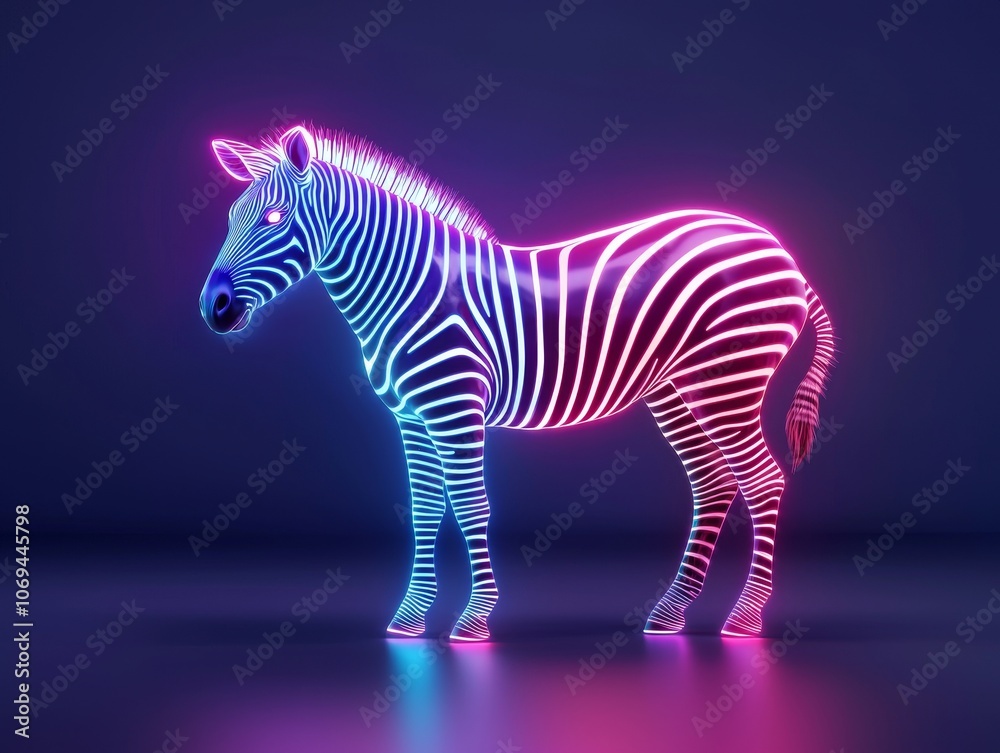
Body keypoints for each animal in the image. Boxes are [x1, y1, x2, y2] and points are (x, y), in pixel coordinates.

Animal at [199, 125, 835, 641]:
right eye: (228, 220)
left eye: (275, 220)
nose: (213, 308)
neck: (404, 288)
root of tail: (781, 251)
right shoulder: (411, 416)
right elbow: (424, 509)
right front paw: (408, 620)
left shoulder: (455, 406)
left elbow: (470, 505)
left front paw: (473, 620)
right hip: (676, 389)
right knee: (714, 484)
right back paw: (670, 614)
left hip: (728, 378)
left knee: (763, 481)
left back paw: (744, 620)